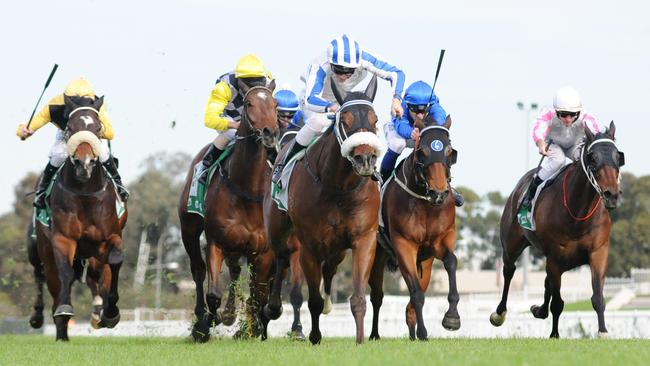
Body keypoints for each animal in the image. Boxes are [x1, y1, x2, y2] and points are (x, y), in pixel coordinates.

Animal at [34, 94, 127, 340]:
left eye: (97, 127)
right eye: (71, 127)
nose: (84, 163)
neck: (85, 194)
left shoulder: (110, 238)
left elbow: (115, 262)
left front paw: (110, 313)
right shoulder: (63, 239)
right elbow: (65, 272)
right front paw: (65, 309)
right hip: (46, 253)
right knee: (53, 282)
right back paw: (61, 331)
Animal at [177, 78, 278, 342]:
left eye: (274, 104)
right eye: (250, 103)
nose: (270, 133)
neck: (246, 189)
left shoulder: (263, 251)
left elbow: (258, 294)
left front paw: (253, 329)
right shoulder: (216, 242)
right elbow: (213, 294)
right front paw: (205, 325)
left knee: (236, 271)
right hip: (189, 229)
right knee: (198, 270)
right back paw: (205, 317)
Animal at [262, 75, 380, 344]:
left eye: (375, 121)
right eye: (344, 120)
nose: (365, 159)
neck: (338, 186)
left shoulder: (364, 238)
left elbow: (358, 298)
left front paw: (360, 340)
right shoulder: (309, 245)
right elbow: (312, 300)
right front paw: (314, 336)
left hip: (337, 249)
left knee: (330, 268)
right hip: (277, 230)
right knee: (281, 259)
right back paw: (271, 308)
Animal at [368, 116, 458, 340]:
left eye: (450, 152)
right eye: (422, 151)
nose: (439, 193)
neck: (425, 203)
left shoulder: (440, 242)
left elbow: (451, 262)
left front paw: (452, 317)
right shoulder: (404, 245)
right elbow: (416, 293)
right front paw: (424, 332)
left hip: (425, 263)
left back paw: (411, 332)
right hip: (376, 254)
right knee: (377, 296)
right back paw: (374, 334)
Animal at [492, 122, 624, 338]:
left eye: (617, 157)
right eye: (593, 157)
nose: (611, 195)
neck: (578, 213)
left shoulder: (597, 252)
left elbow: (597, 296)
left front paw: (603, 331)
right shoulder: (555, 257)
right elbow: (558, 303)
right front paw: (554, 334)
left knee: (546, 284)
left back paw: (538, 310)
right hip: (512, 244)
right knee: (509, 271)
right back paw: (499, 313)